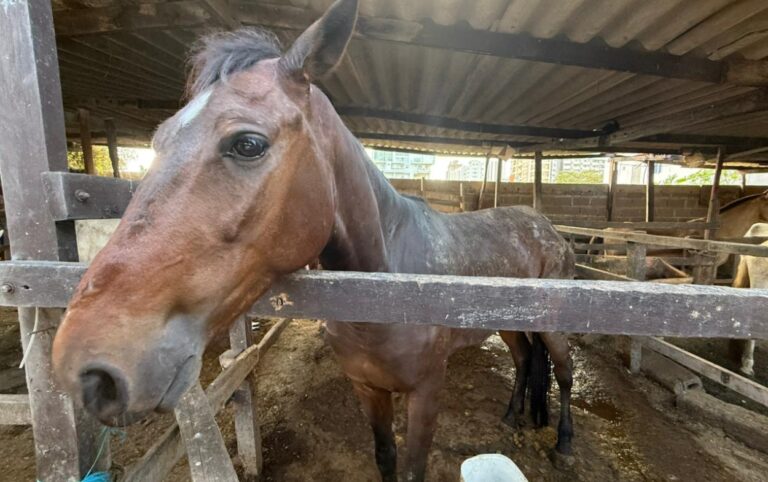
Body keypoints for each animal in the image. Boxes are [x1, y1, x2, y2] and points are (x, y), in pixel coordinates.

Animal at [51, 1, 576, 480]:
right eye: (157, 141)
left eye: (247, 143)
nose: (88, 370)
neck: (393, 291)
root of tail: (547, 228)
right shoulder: (368, 389)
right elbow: (385, 458)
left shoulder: (426, 394)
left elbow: (412, 468)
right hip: (512, 325)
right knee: (524, 359)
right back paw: (512, 416)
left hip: (552, 330)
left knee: (562, 371)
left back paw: (563, 444)